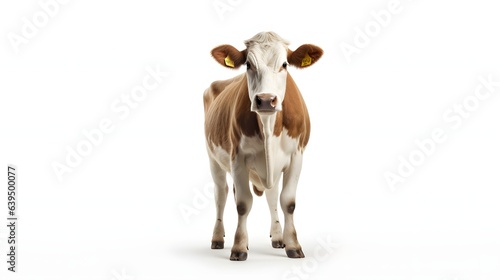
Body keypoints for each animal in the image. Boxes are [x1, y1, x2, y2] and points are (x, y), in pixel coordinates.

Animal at [203, 31, 324, 262]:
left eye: (285, 64)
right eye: (248, 64)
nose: (266, 100)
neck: (268, 127)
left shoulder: (296, 156)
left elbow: (287, 202)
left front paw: (292, 245)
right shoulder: (237, 158)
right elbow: (242, 204)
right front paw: (239, 247)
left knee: (271, 196)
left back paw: (277, 237)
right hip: (213, 159)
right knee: (221, 195)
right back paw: (217, 238)